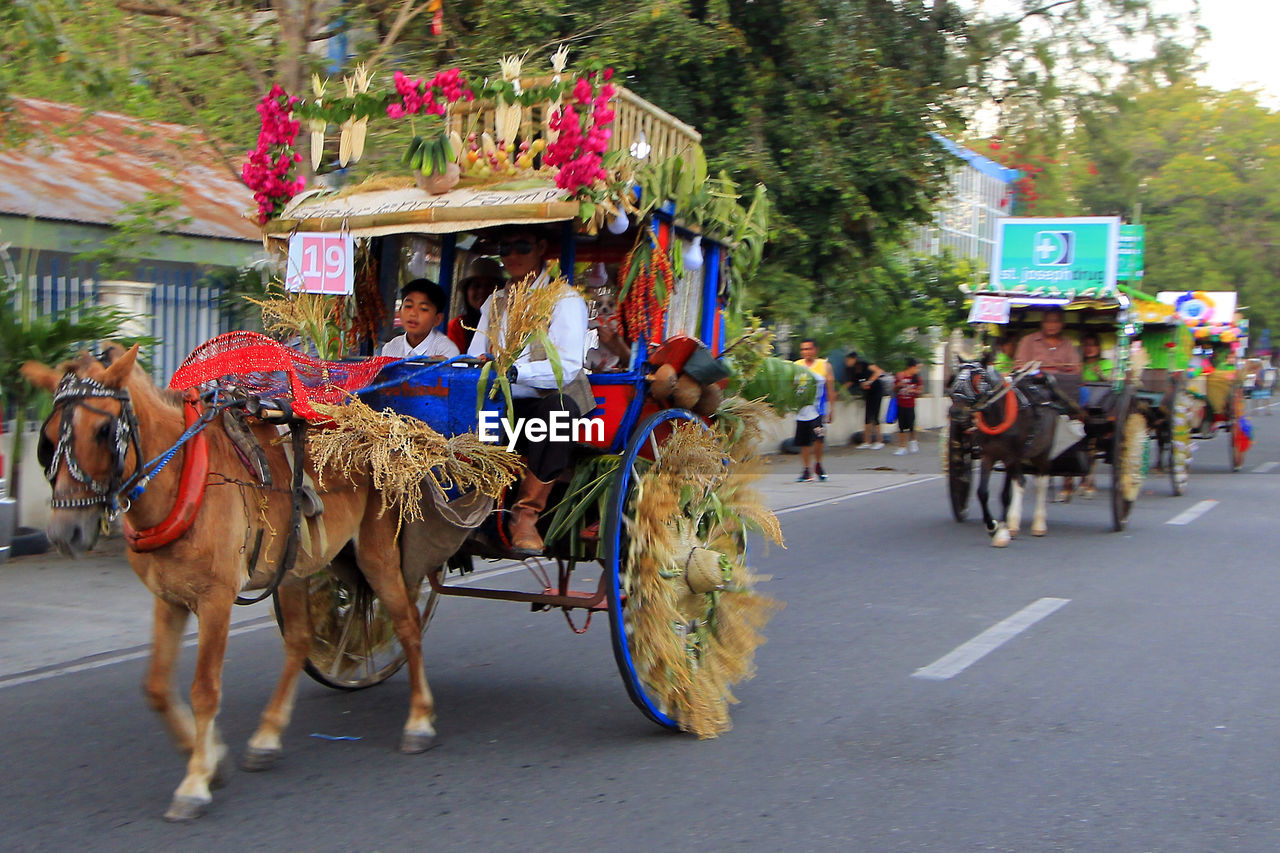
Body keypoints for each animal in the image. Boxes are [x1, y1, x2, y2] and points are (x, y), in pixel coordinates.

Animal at [21, 343, 471, 819]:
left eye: (105, 430)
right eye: (47, 439)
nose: (64, 533)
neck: (183, 478)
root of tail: (376, 421)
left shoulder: (215, 600)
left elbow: (204, 690)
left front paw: (195, 781)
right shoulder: (169, 598)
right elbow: (157, 688)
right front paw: (210, 758)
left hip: (375, 554)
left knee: (406, 625)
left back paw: (419, 719)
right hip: (294, 564)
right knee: (300, 641)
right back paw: (268, 735)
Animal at [952, 358, 1059, 545]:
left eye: (977, 378)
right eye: (957, 377)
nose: (956, 411)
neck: (997, 416)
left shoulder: (1011, 456)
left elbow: (1005, 494)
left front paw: (1002, 531)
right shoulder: (989, 456)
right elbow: (982, 492)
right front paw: (993, 526)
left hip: (1042, 452)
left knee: (1041, 481)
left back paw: (1038, 524)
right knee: (1022, 481)